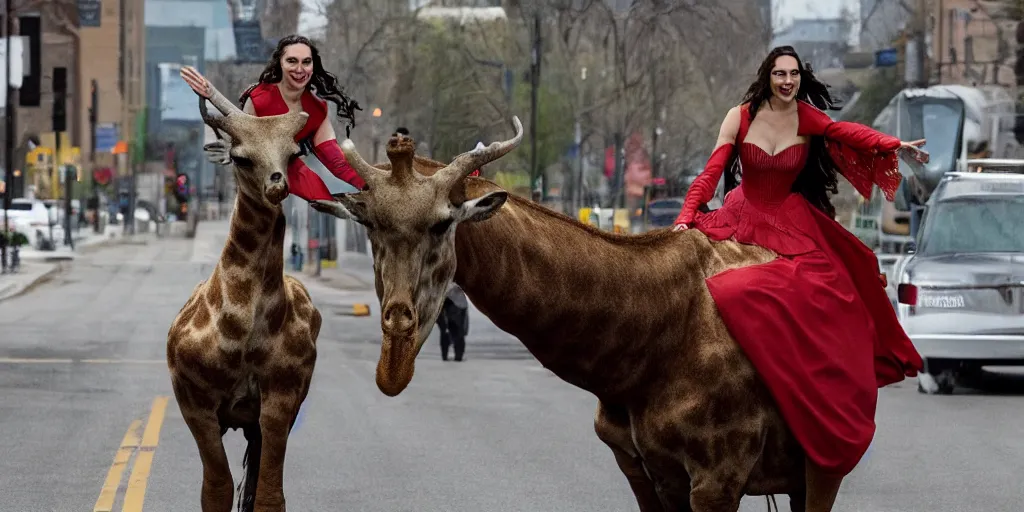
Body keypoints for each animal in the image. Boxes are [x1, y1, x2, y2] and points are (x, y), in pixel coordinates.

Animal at [166, 73, 319, 512]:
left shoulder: (281, 401)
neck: (243, 329)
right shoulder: (196, 404)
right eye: (241, 157)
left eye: (291, 153)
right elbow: (215, 489)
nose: (277, 185)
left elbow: (268, 495)